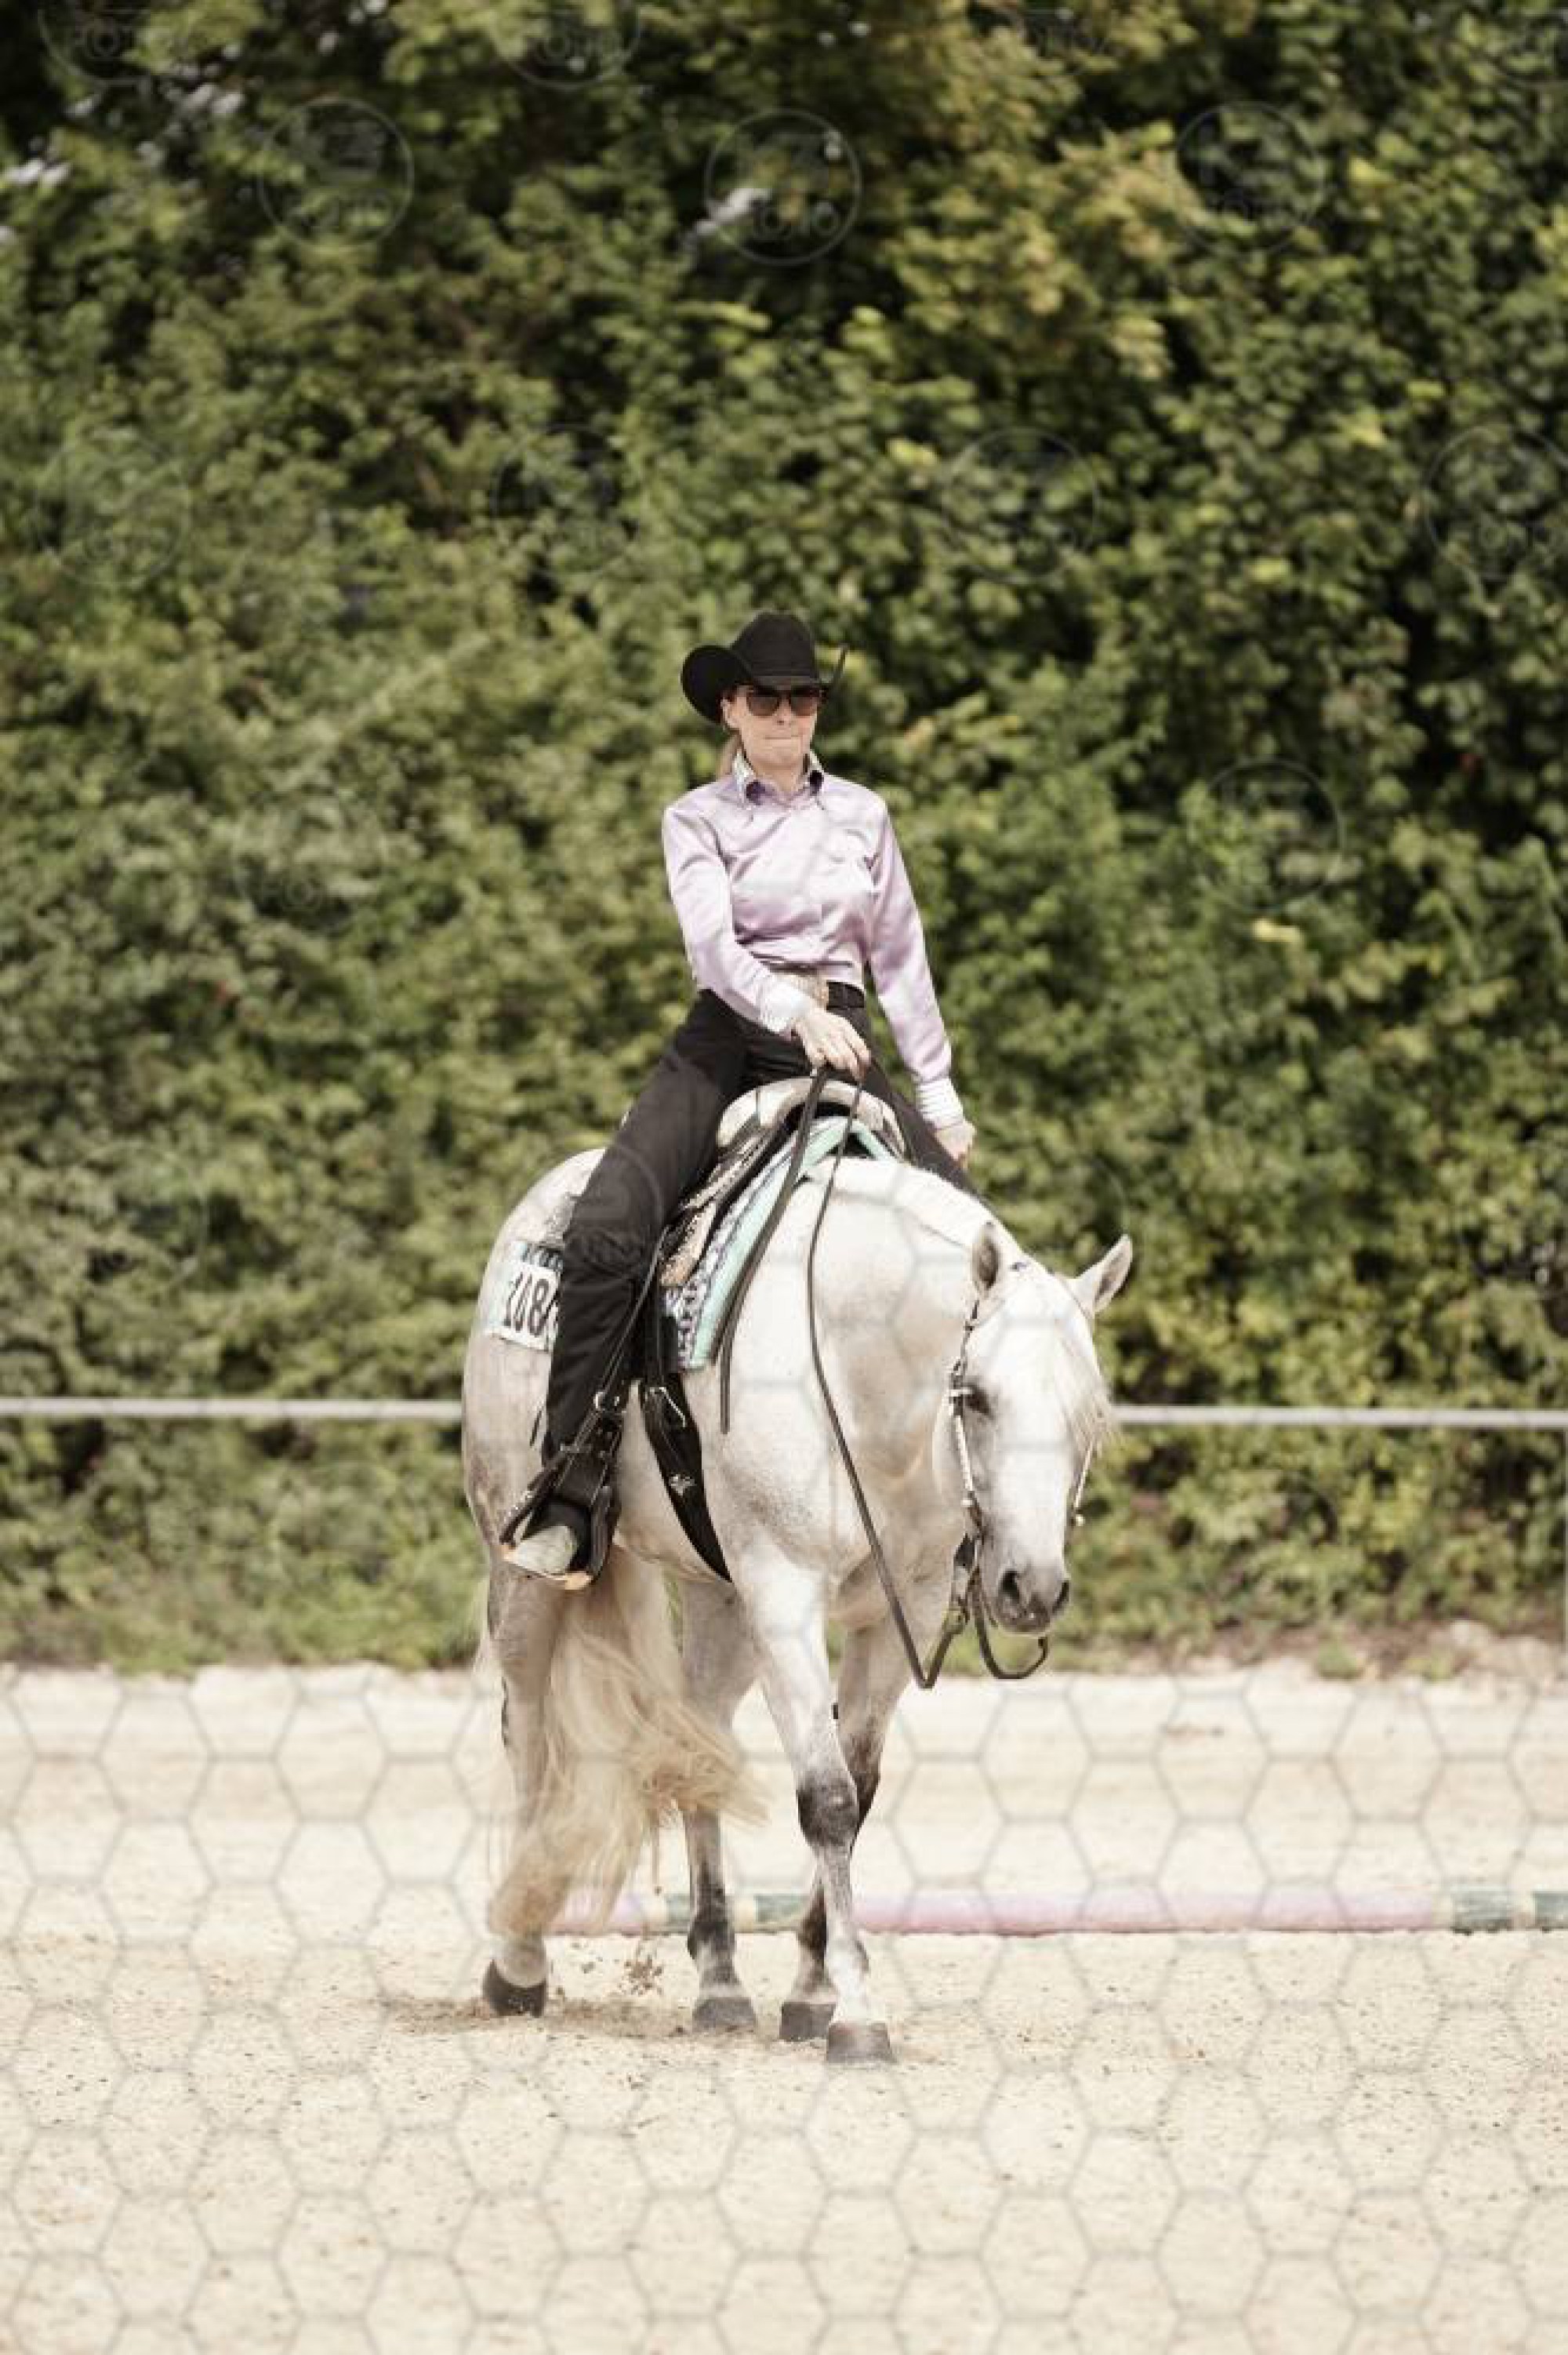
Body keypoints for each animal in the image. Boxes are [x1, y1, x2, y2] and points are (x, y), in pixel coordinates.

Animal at [463, 1135, 1132, 2065]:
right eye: (978, 1398)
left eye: (1089, 1415)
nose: (1029, 1587)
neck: (856, 1378)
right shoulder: (783, 1596)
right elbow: (826, 1797)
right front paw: (856, 2011)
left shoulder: (900, 1612)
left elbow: (860, 1787)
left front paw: (814, 1987)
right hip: (525, 1573)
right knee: (525, 1728)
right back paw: (519, 1955)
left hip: (720, 1599)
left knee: (701, 1738)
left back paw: (718, 1979)